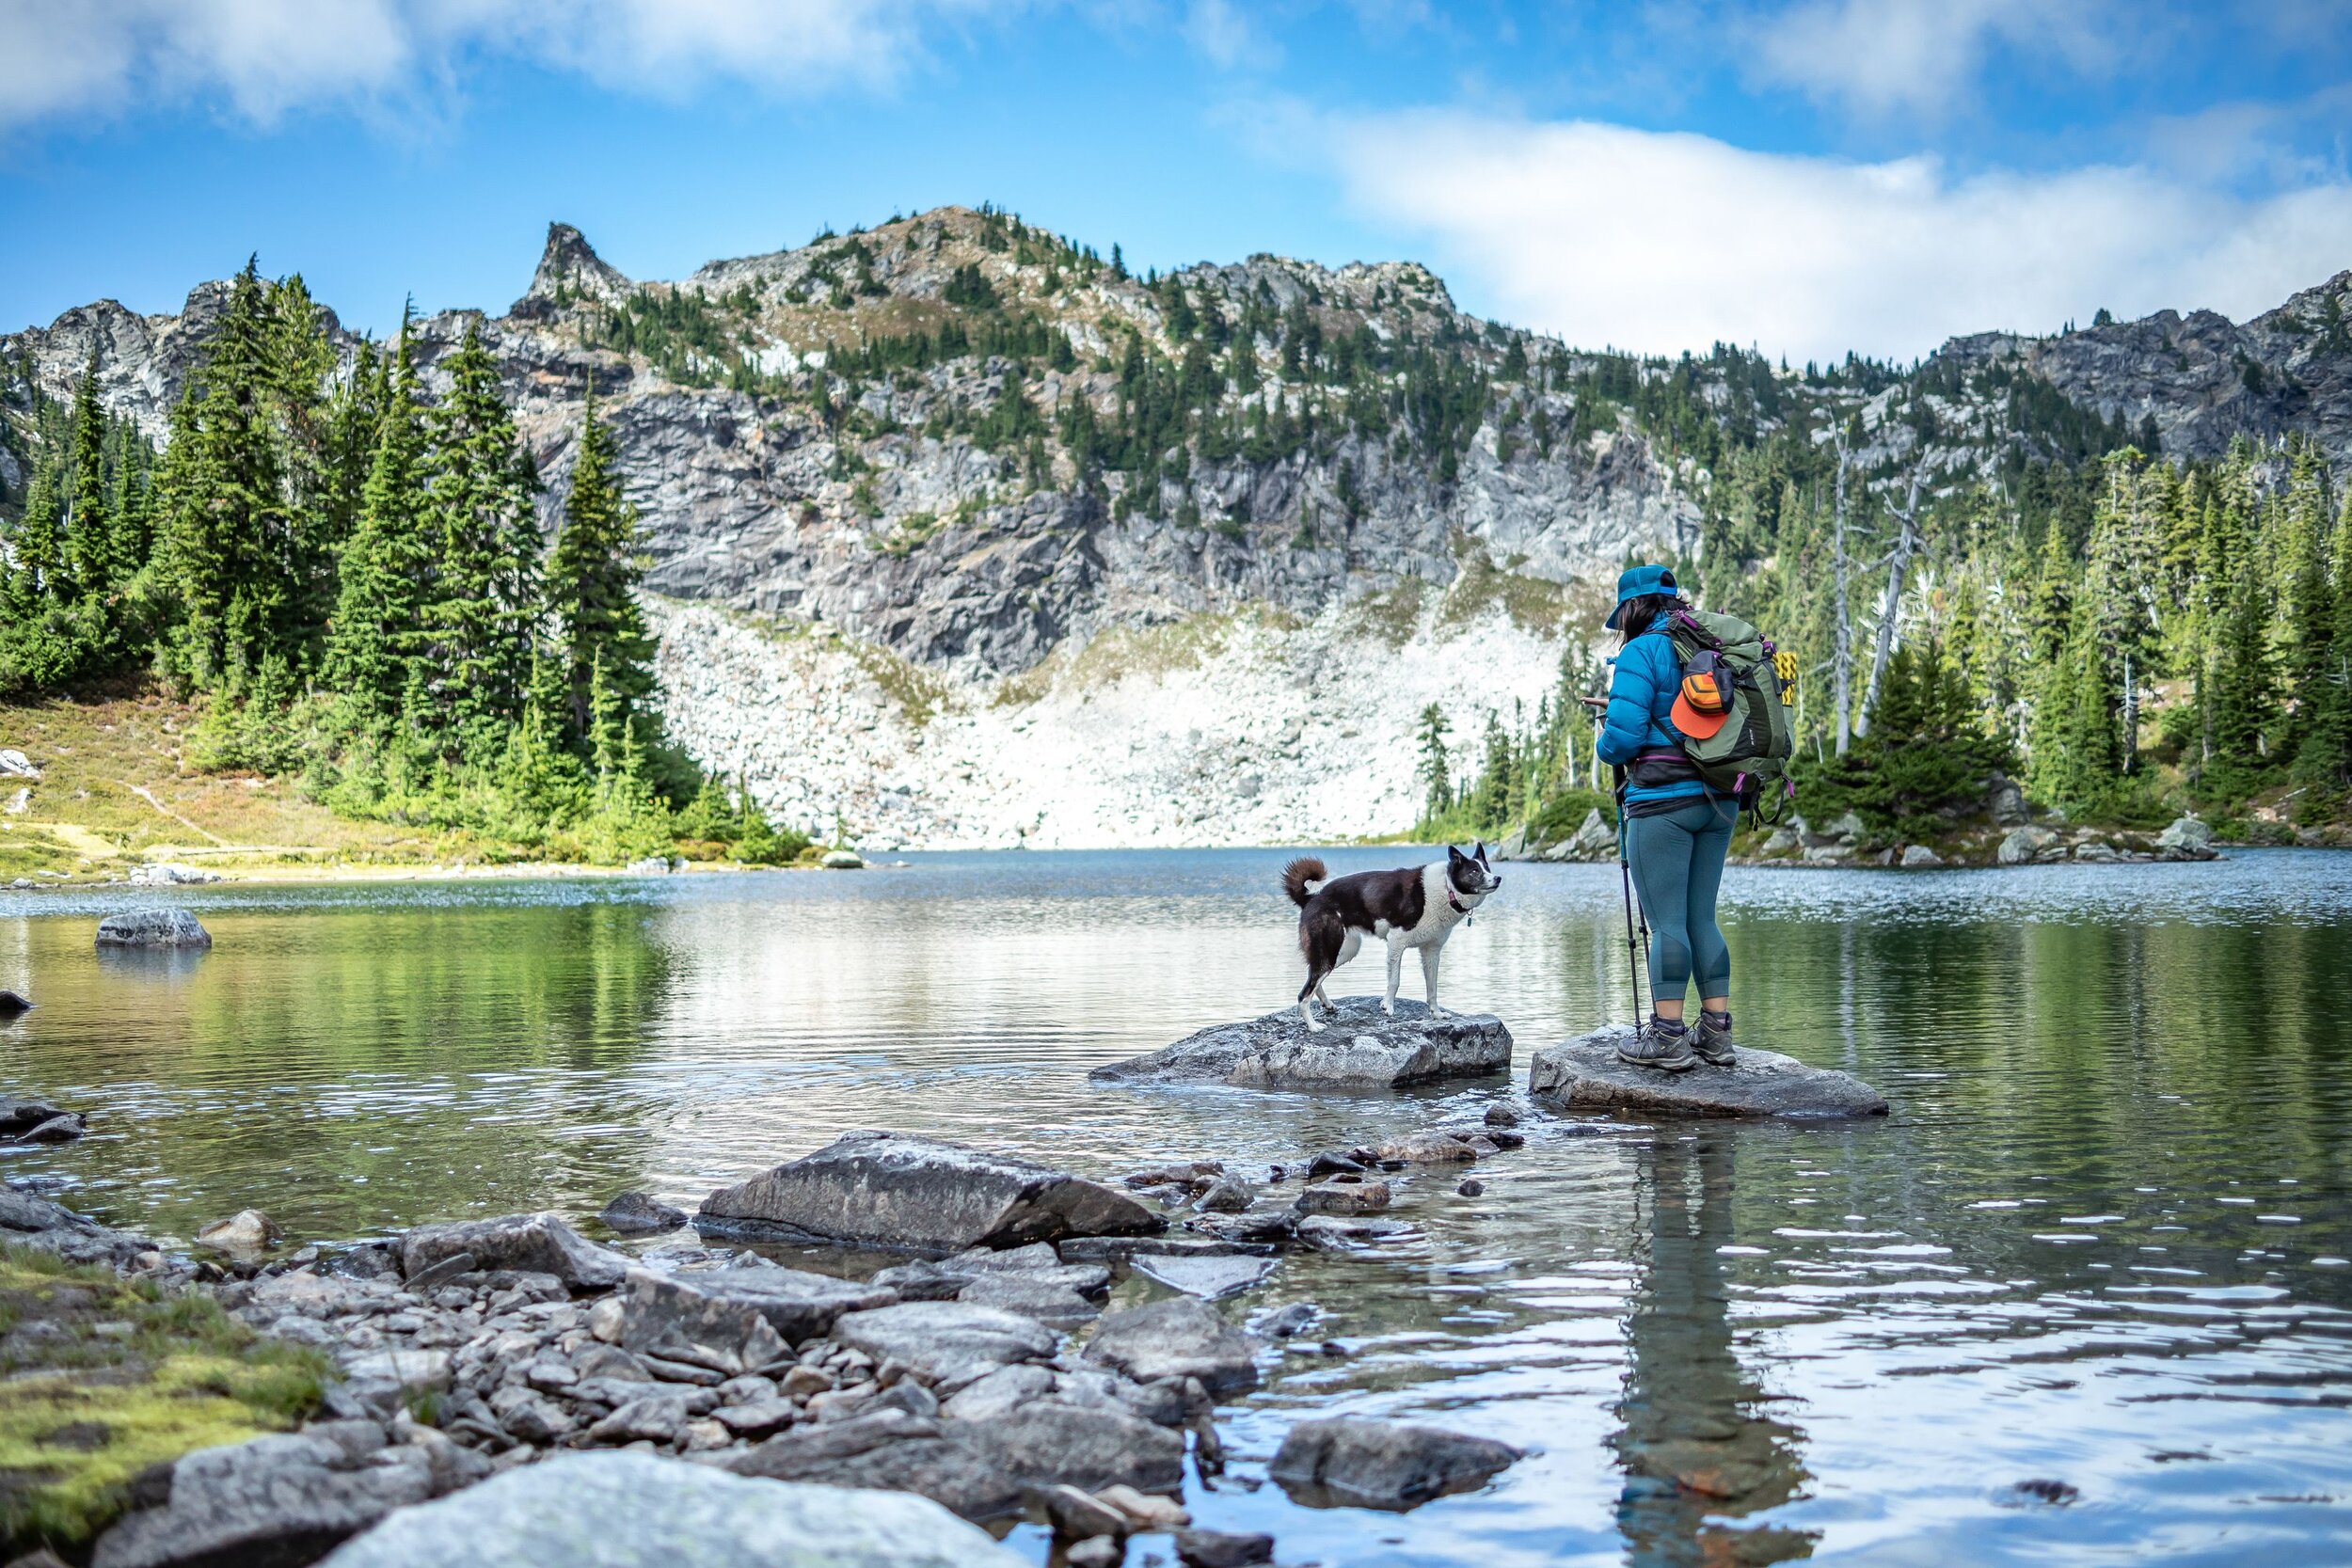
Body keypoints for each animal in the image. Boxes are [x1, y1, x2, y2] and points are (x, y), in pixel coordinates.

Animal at [1279, 846, 1496, 1029]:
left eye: (1487, 868)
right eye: (1474, 871)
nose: (1498, 878)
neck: (1446, 888)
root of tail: (1311, 898)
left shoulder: (1431, 952)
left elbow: (1433, 987)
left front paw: (1436, 1014)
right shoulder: (1396, 942)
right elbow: (1394, 980)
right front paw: (1388, 1006)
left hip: (1344, 950)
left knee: (1313, 978)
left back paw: (1327, 1004)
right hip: (1330, 951)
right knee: (1303, 994)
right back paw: (1313, 1026)